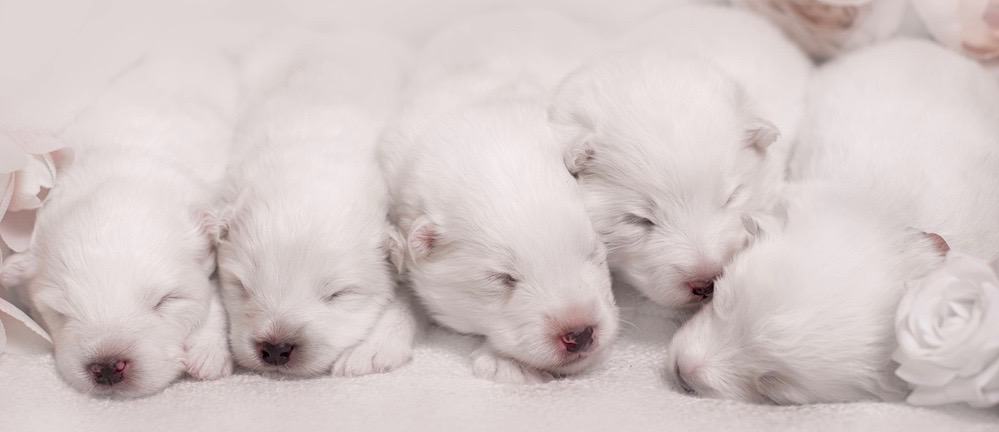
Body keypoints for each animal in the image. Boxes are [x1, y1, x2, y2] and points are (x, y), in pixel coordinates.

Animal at [7, 54, 240, 398]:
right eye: (60, 312)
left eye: (166, 300)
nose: (107, 366)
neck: (128, 165)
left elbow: (216, 294)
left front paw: (207, 352)